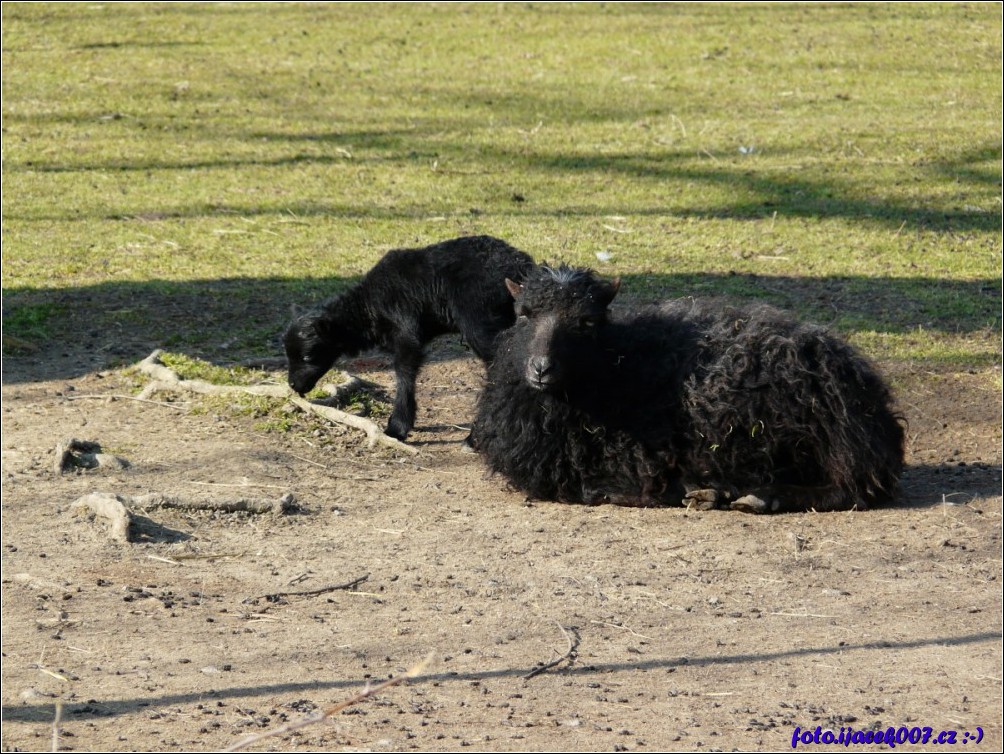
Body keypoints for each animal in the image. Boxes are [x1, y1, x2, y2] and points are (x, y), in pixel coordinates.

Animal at [287, 235, 538, 441]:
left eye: (308, 356)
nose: (292, 385)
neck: (369, 308)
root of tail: (521, 266)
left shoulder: (406, 333)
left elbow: (404, 374)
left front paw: (397, 427)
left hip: (480, 322)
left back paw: (475, 438)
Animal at [473, 265, 907, 514]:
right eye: (524, 315)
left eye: (587, 322)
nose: (541, 368)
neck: (620, 367)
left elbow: (597, 489)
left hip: (823, 438)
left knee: (851, 490)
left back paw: (759, 496)